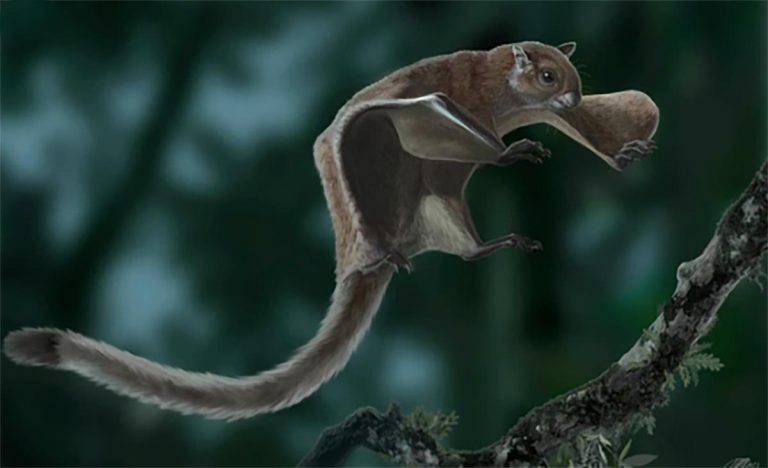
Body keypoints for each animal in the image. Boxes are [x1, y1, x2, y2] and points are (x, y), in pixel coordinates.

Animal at [4, 41, 659, 420]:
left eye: (571, 76)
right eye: (548, 75)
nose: (571, 96)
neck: (498, 89)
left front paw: (621, 154)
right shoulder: (450, 103)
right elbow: (464, 128)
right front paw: (512, 152)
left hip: (441, 203)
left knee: (469, 251)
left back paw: (487, 243)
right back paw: (396, 253)